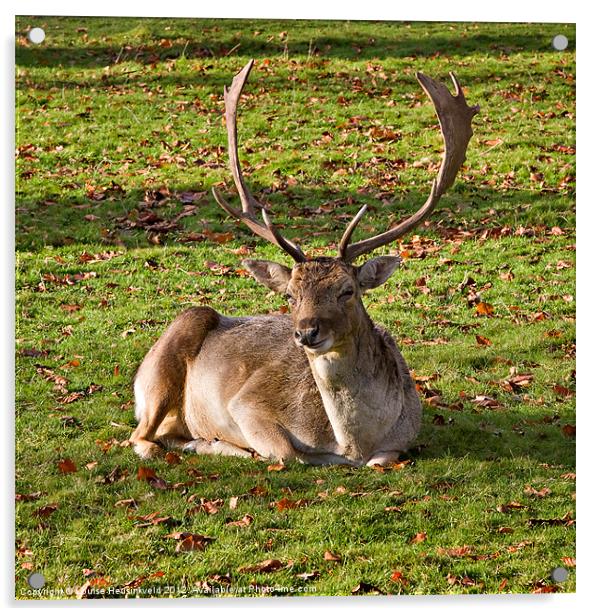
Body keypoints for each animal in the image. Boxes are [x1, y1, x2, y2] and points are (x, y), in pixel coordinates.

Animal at [130, 59, 478, 466]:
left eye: (348, 291)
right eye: (291, 295)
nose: (307, 332)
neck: (353, 444)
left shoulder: (402, 439)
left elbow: (383, 459)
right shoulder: (246, 404)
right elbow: (286, 453)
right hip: (162, 368)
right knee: (141, 437)